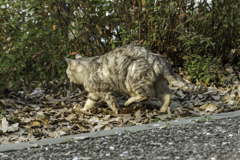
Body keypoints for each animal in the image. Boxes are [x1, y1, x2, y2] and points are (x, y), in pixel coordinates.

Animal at [65, 45, 206, 115]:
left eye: (67, 72)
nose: (67, 78)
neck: (88, 68)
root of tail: (158, 58)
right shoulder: (95, 93)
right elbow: (89, 102)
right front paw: (83, 110)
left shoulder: (105, 91)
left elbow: (111, 102)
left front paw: (116, 111)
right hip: (159, 84)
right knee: (167, 95)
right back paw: (162, 109)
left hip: (133, 78)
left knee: (147, 95)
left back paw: (129, 102)